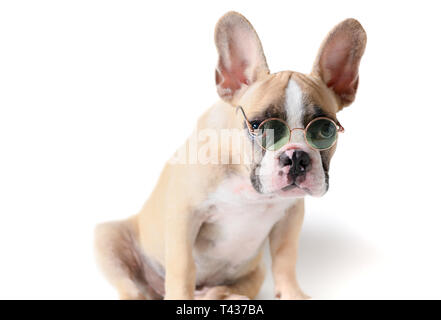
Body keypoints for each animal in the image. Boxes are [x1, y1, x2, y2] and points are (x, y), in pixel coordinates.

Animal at [94, 10, 366, 300]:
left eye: (326, 130)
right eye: (259, 126)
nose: (296, 157)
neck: (245, 180)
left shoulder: (290, 217)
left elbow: (285, 258)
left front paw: (292, 293)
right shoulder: (184, 214)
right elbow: (183, 267)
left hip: (255, 271)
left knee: (231, 287)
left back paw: (224, 294)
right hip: (108, 238)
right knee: (133, 288)